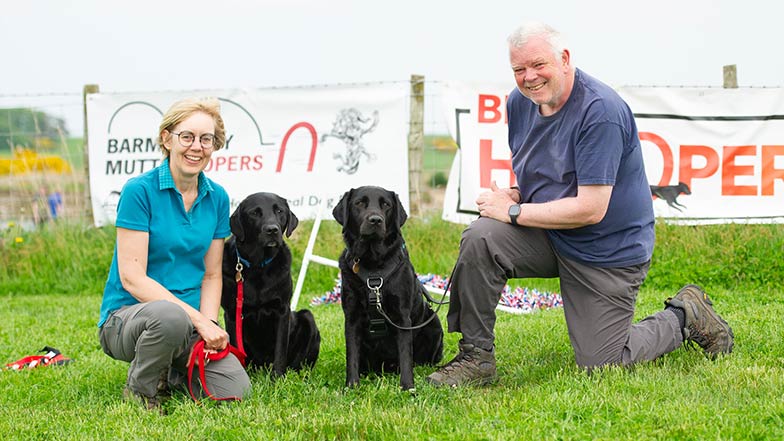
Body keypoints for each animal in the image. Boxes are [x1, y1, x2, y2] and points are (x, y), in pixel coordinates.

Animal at [220, 192, 318, 374]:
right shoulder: (231, 313)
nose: (272, 229)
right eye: (254, 213)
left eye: (279, 211)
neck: (258, 265)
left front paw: (278, 377)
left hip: (307, 317)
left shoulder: (282, 310)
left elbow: (280, 350)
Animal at [330, 185, 444, 388]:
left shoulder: (402, 317)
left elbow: (405, 355)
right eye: (359, 203)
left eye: (386, 205)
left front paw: (408, 386)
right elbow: (352, 355)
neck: (373, 265)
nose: (375, 219)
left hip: (434, 323)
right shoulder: (351, 317)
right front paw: (352, 386)